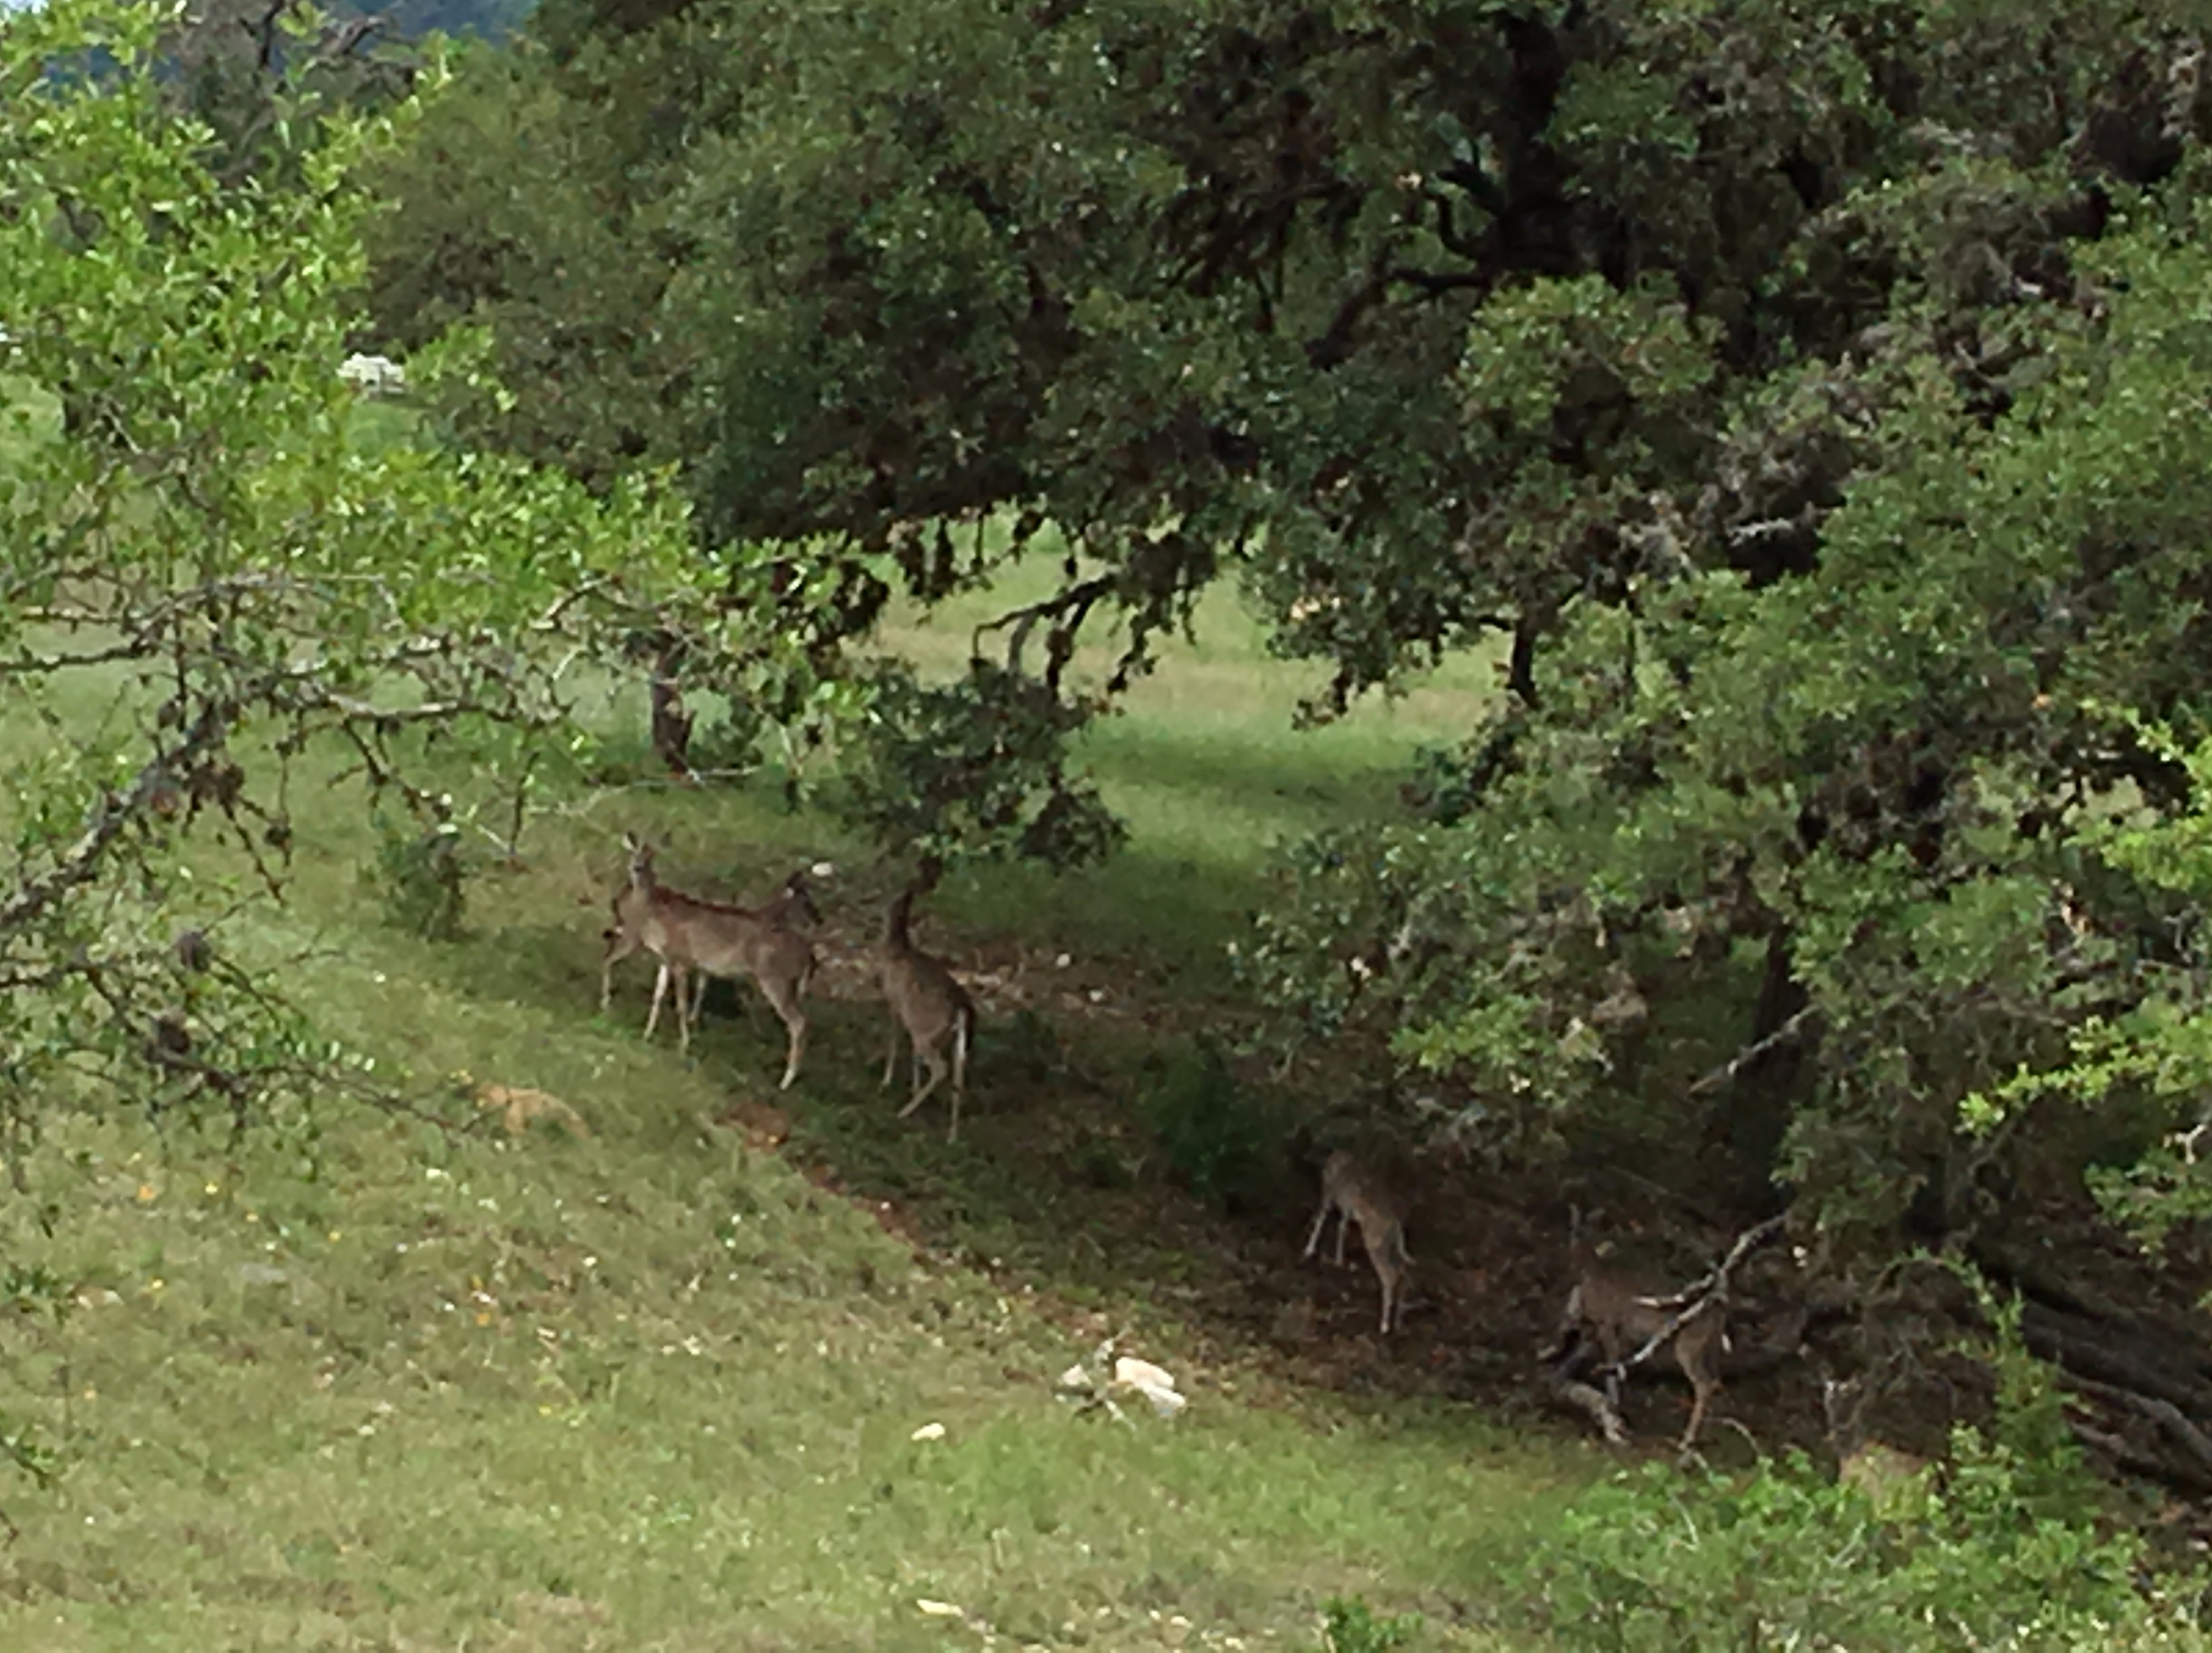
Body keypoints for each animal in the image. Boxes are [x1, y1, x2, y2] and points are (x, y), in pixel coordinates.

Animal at [599, 833, 819, 1089]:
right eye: (635, 853)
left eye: (652, 856)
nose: (636, 867)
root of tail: (808, 955)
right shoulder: (666, 961)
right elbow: (659, 996)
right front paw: (647, 1035)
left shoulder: (682, 961)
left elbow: (681, 1005)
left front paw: (683, 1046)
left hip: (775, 978)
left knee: (798, 1022)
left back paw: (786, 1080)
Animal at [877, 882, 976, 1142]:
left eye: (890, 902)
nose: (875, 905)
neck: (898, 950)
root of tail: (961, 1008)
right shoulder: (910, 1018)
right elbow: (913, 1056)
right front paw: (913, 1087)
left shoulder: (894, 1004)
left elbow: (893, 1039)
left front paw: (887, 1081)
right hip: (955, 1041)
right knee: (959, 1076)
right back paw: (952, 1136)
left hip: (926, 1033)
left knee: (941, 1069)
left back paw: (904, 1112)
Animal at [1302, 1149, 1411, 1336]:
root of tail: (1395, 1226)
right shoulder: (1346, 1210)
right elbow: (1342, 1227)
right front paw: (1338, 1261)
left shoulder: (1329, 1195)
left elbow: (1322, 1219)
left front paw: (1309, 1250)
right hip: (1390, 1247)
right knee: (1402, 1271)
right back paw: (1397, 1323)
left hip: (1375, 1246)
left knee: (1390, 1275)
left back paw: (1384, 1325)